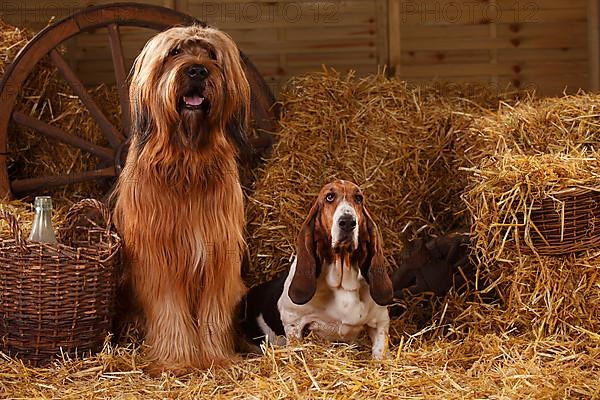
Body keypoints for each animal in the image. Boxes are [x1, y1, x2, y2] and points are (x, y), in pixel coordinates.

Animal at [113, 25, 250, 376]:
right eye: (175, 52)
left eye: (212, 55)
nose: (198, 70)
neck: (187, 163)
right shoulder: (160, 258)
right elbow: (169, 310)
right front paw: (176, 360)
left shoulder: (218, 254)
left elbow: (214, 311)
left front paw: (216, 357)